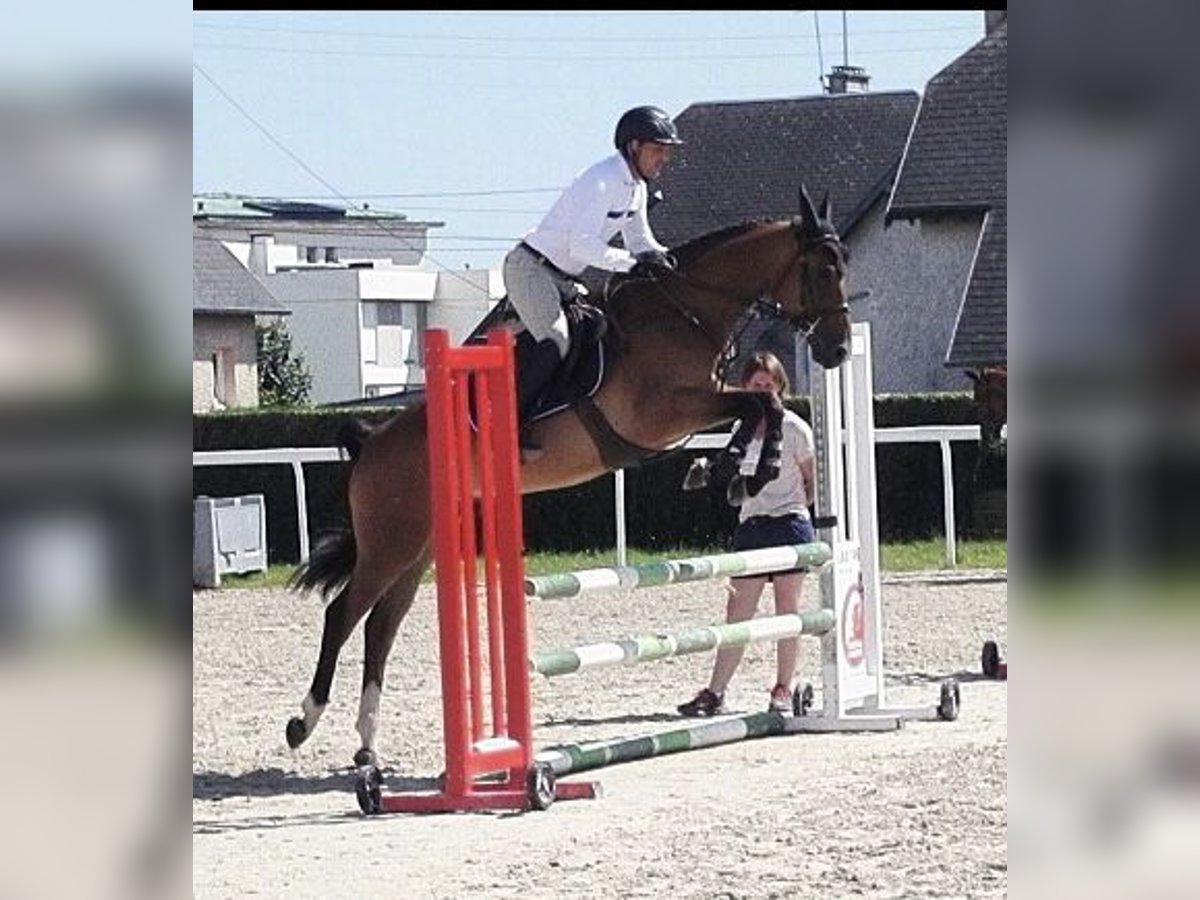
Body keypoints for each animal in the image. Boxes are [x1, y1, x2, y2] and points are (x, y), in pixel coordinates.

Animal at [286, 183, 859, 768]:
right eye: (822, 268)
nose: (837, 349)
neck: (686, 312)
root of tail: (373, 442)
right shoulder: (665, 412)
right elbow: (761, 402)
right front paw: (743, 469)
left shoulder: (699, 405)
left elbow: (764, 405)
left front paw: (735, 471)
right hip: (390, 544)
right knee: (343, 614)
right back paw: (303, 723)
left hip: (418, 549)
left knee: (381, 626)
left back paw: (367, 748)